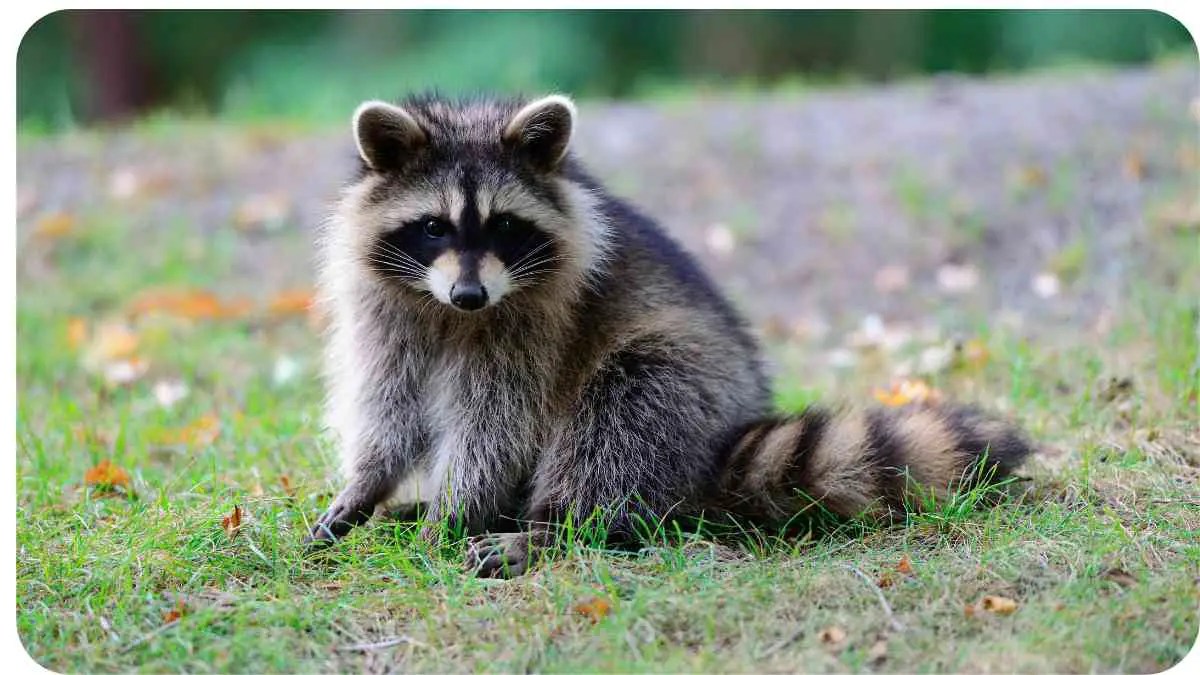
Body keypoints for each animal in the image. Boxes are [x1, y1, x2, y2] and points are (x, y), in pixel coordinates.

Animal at [307, 93, 1033, 577]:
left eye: (505, 226)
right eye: (433, 227)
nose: (469, 295)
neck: (449, 312)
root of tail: (723, 439)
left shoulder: (536, 319)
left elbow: (497, 423)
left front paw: (457, 511)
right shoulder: (386, 308)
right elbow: (388, 404)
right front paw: (368, 484)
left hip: (684, 382)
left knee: (621, 417)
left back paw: (554, 526)